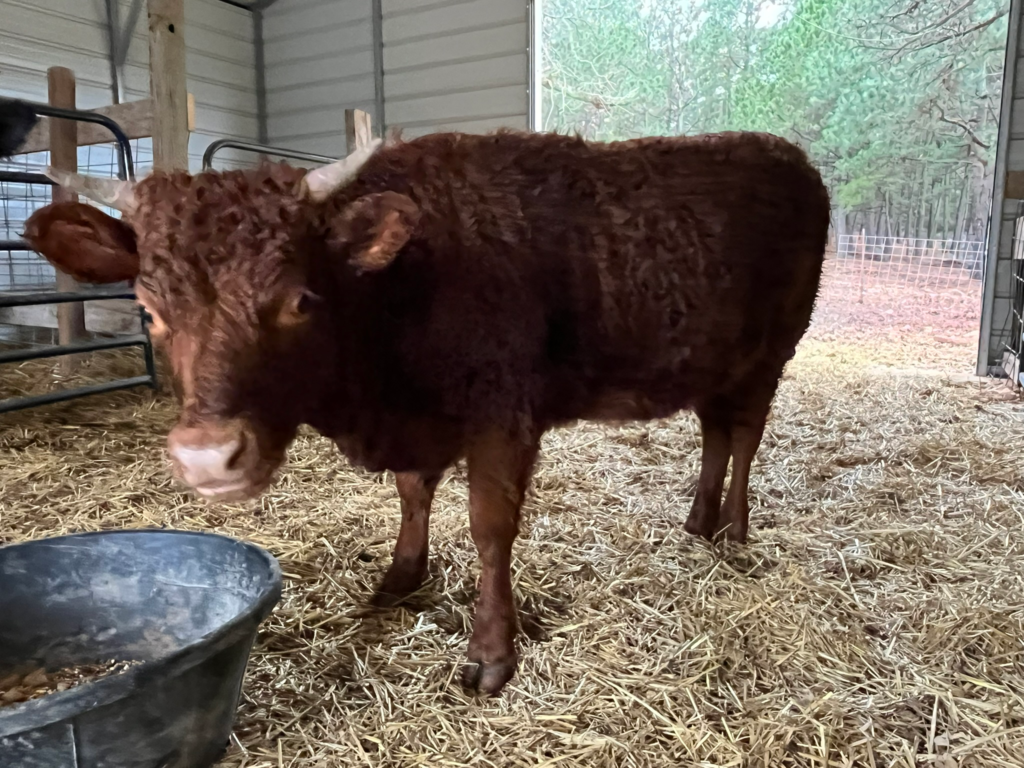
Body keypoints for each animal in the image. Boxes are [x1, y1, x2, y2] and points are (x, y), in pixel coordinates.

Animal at [23, 129, 830, 695]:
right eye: (148, 309)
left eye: (299, 300)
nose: (207, 455)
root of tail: (780, 150)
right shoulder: (421, 425)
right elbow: (413, 493)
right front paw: (401, 576)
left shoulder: (503, 417)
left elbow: (489, 530)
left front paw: (492, 653)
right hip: (715, 364)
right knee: (715, 433)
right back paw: (698, 520)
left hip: (772, 354)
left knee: (745, 436)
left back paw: (734, 528)